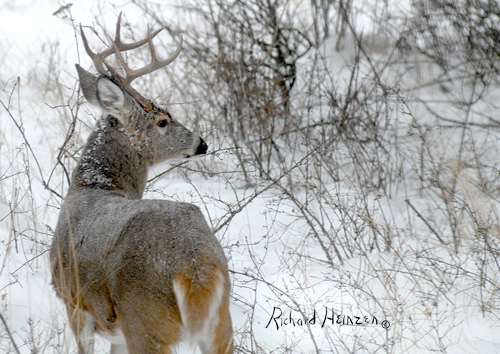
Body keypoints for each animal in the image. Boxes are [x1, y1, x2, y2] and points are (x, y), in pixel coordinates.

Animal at [49, 13, 233, 354]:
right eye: (162, 121)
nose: (201, 143)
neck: (96, 185)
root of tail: (194, 266)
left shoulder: (75, 305)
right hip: (221, 320)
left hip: (144, 319)